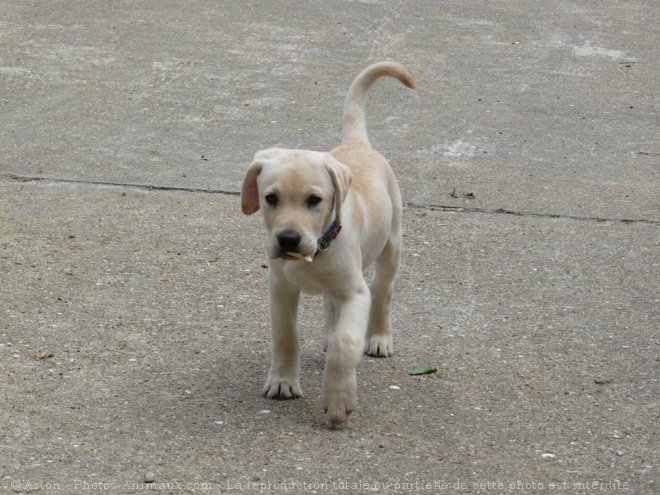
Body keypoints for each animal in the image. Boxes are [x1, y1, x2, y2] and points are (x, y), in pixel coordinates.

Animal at [240, 61, 416, 422]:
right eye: (270, 198)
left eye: (314, 200)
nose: (288, 239)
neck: (316, 252)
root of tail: (358, 144)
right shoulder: (280, 288)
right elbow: (286, 335)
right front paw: (283, 381)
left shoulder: (355, 294)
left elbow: (345, 342)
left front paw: (338, 399)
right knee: (330, 305)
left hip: (392, 245)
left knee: (383, 292)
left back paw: (379, 337)